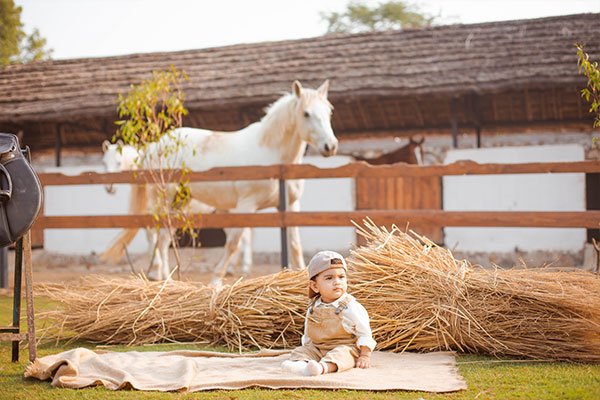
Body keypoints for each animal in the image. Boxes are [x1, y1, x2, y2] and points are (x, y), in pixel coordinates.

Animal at [101, 141, 253, 278]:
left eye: (118, 162)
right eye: (104, 163)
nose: (109, 187)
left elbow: (156, 241)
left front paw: (158, 272)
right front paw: (155, 272)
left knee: (245, 237)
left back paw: (244, 267)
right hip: (224, 212)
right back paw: (231, 269)